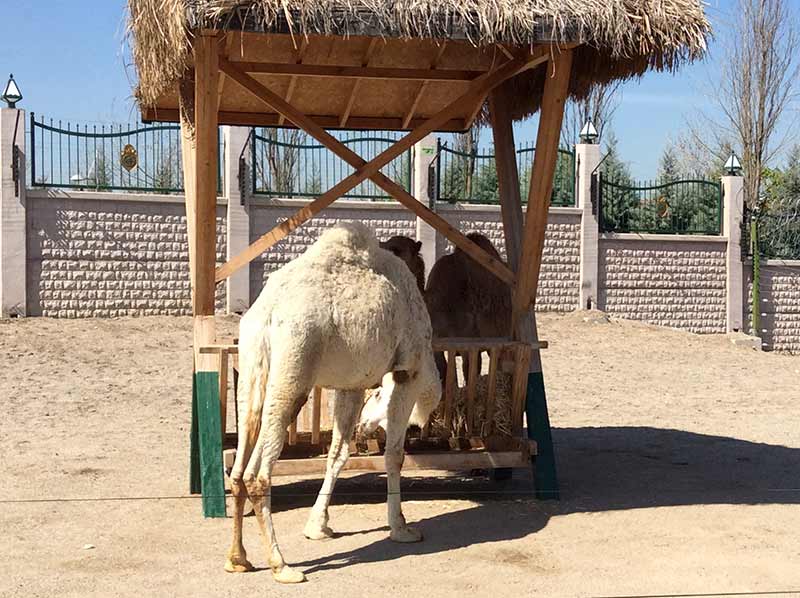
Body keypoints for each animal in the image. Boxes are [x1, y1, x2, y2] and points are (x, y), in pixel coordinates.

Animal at [225, 223, 440, 584]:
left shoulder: (350, 384)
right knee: (258, 473)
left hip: (252, 370)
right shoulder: (406, 372)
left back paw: (238, 559)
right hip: (294, 366)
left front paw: (318, 527)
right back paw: (281, 566)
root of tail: (267, 313)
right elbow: (395, 455)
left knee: (239, 468)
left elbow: (337, 453)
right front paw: (401, 528)